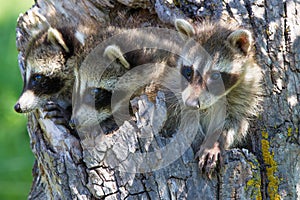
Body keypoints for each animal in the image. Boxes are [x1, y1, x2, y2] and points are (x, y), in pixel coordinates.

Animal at [173, 19, 262, 173]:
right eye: (189, 72)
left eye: (215, 76)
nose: (191, 103)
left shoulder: (244, 94)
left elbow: (233, 123)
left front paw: (213, 143)